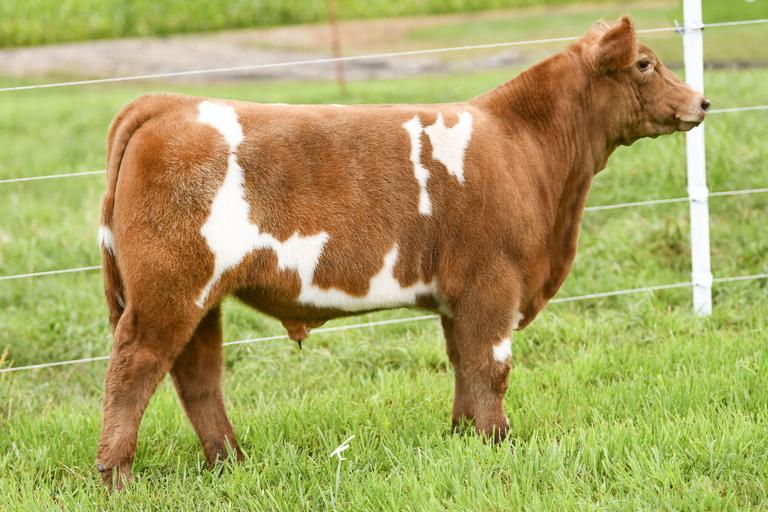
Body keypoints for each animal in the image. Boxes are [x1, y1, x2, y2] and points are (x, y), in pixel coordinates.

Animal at [95, 16, 709, 488]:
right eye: (645, 63)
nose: (701, 101)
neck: (529, 150)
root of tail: (166, 102)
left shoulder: (459, 294)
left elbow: (464, 362)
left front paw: (465, 438)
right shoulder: (494, 282)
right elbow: (492, 367)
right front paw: (498, 444)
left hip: (201, 296)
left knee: (197, 375)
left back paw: (231, 464)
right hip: (169, 291)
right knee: (134, 368)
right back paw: (118, 478)